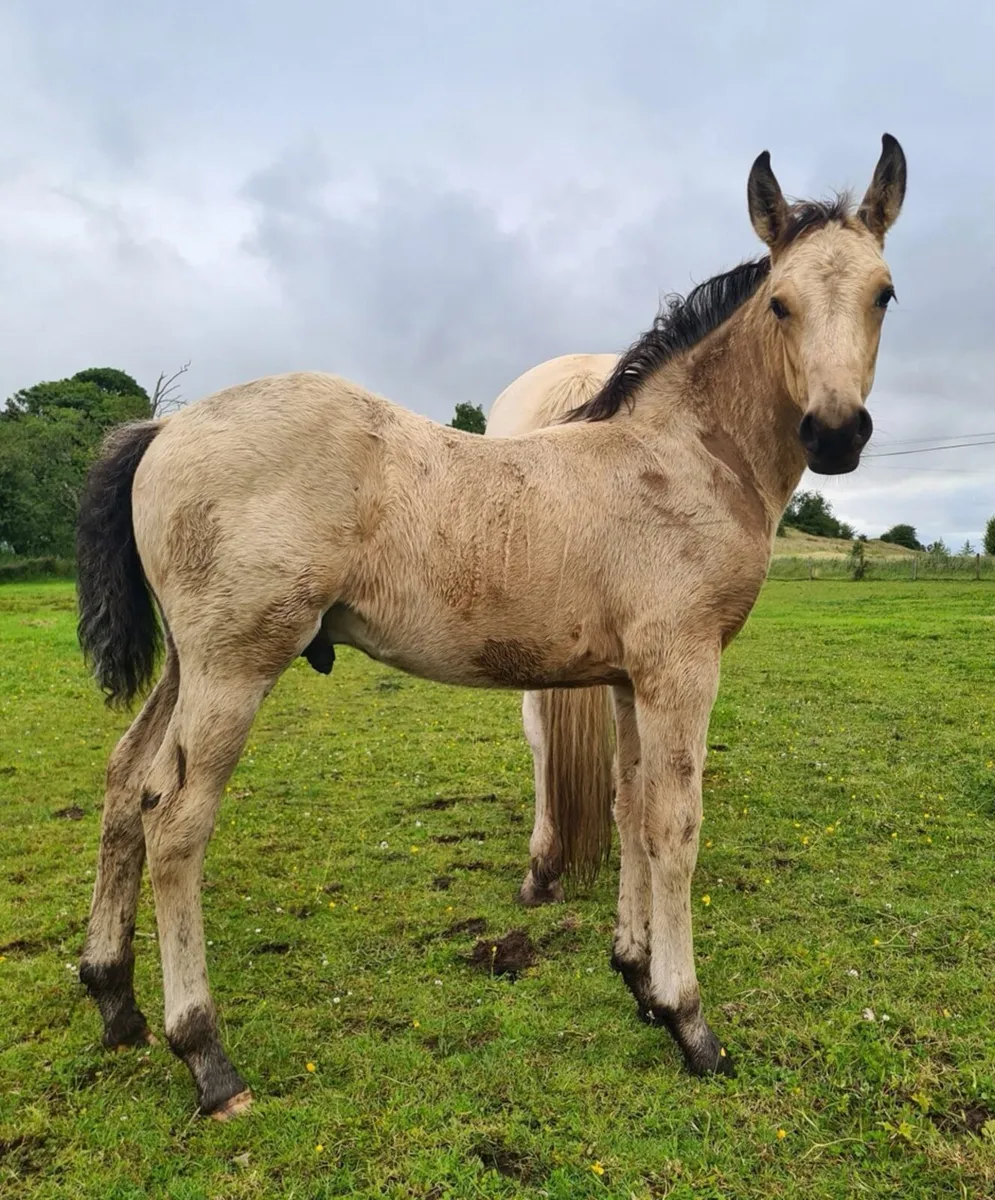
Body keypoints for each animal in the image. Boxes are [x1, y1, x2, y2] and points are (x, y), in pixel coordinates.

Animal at [75, 135, 906, 1119]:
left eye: (883, 293)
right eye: (779, 302)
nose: (835, 433)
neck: (679, 458)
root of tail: (162, 427)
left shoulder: (627, 678)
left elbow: (629, 808)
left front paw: (636, 979)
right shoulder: (681, 667)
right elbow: (676, 824)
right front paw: (690, 1021)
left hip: (187, 664)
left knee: (125, 784)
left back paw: (114, 999)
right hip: (235, 665)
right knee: (176, 820)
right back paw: (206, 1057)